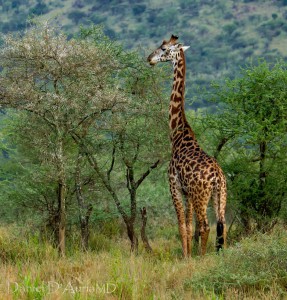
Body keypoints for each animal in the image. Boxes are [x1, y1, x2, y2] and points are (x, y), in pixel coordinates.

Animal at [148, 34, 227, 256]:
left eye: (163, 48)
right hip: (220, 196)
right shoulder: (187, 193)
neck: (177, 133)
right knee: (222, 224)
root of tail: (218, 177)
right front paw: (188, 254)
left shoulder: (173, 186)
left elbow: (182, 225)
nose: (149, 59)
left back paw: (202, 256)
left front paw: (185, 257)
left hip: (202, 196)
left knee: (206, 225)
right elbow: (189, 226)